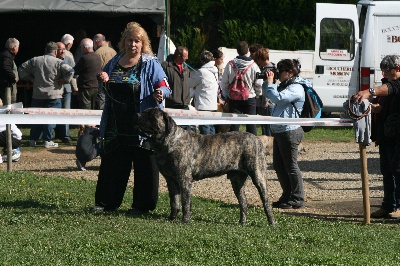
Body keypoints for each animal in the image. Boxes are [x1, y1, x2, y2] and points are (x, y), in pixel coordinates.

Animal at [134, 107, 276, 224]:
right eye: (144, 112)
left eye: (151, 116)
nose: (137, 114)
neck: (166, 143)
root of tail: (257, 139)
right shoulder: (171, 180)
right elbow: (174, 202)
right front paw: (172, 218)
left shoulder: (184, 179)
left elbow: (185, 202)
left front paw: (185, 221)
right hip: (236, 181)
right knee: (244, 202)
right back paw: (242, 222)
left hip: (258, 176)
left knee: (266, 202)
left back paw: (272, 222)